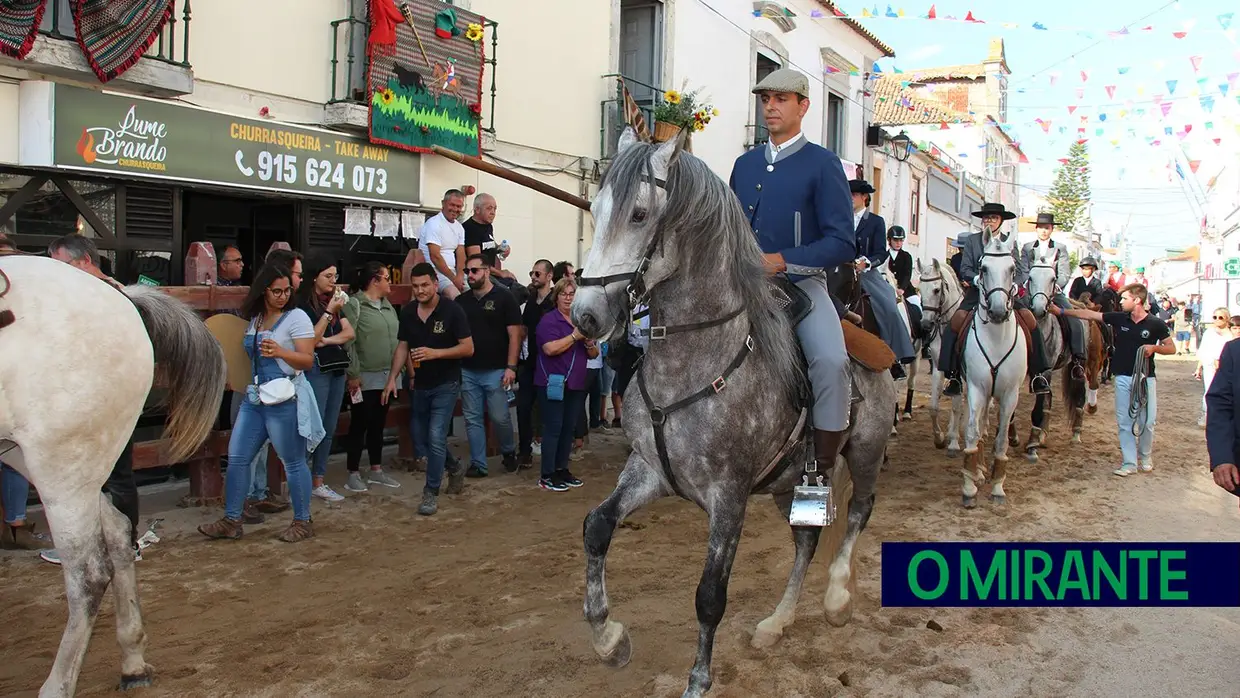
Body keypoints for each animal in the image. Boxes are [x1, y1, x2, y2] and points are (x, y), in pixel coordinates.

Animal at [0, 256, 225, 698]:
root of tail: (121, 297)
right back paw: (133, 661)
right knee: (121, 539)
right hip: (71, 464)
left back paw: (58, 685)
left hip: (62, 466)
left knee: (89, 574)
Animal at [567, 125, 897, 698]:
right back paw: (775, 624)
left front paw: (698, 680)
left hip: (864, 452)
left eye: (639, 214)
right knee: (806, 541)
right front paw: (609, 639)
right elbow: (597, 528)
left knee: (859, 511)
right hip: (791, 484)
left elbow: (709, 595)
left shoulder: (729, 496)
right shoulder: (649, 470)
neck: (694, 358)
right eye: (595, 207)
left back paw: (836, 598)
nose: (585, 317)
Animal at [912, 259, 967, 456]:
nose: (925, 324)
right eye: (920, 289)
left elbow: (957, 406)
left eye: (936, 290)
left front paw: (954, 443)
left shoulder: (960, 373)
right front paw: (940, 438)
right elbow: (934, 407)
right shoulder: (938, 367)